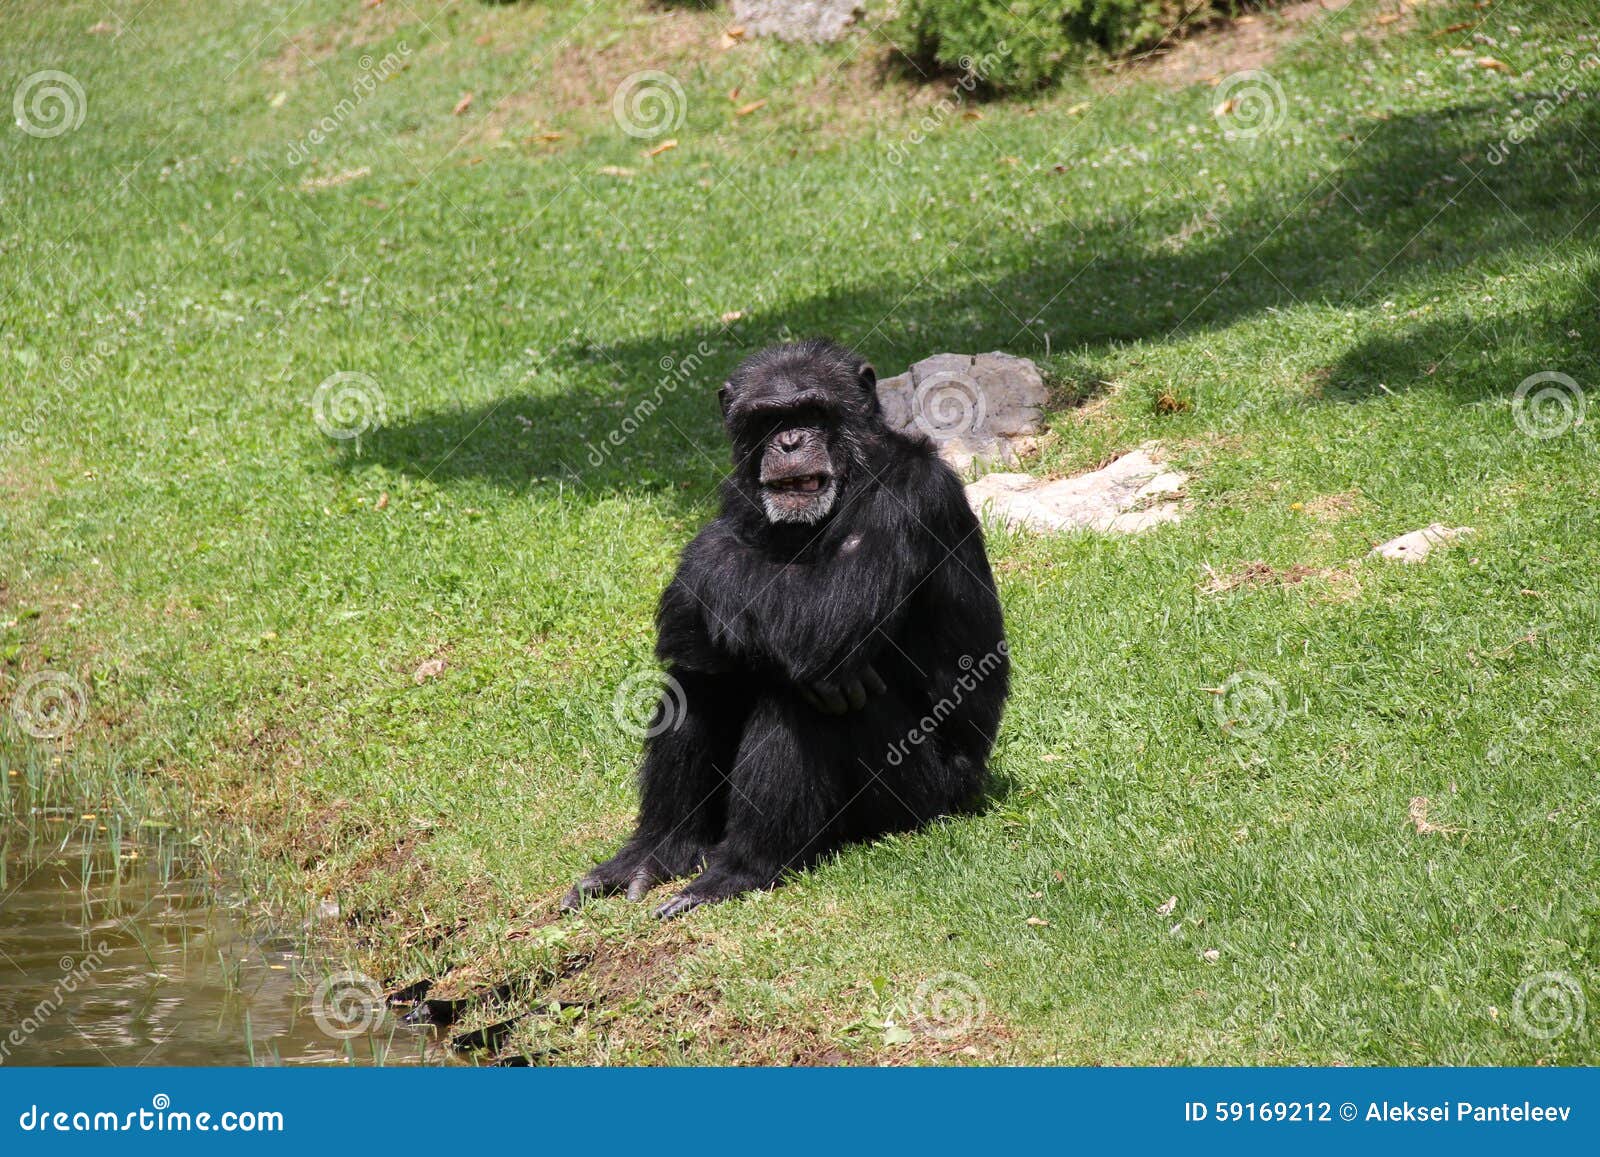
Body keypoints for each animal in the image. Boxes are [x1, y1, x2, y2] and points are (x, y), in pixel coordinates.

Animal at [563, 339, 1004, 921]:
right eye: (769, 419)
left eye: (812, 412)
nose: (791, 442)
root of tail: (971, 790)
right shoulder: (740, 494)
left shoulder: (909, 499)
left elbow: (826, 618)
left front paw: (704, 555)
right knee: (705, 673)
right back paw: (655, 853)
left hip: (922, 801)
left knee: (808, 691)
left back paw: (739, 870)